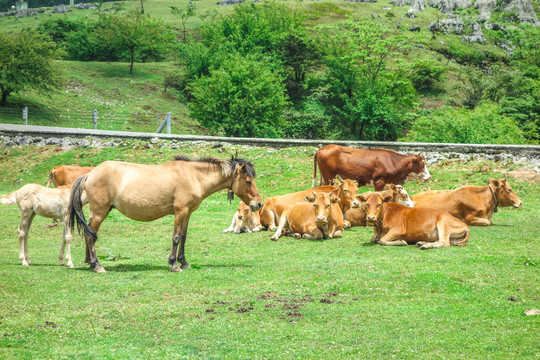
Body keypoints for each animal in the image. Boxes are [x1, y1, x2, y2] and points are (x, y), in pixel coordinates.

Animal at [68, 155, 262, 272]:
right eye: (248, 181)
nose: (258, 204)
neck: (193, 176)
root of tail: (89, 174)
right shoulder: (180, 212)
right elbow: (176, 237)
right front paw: (174, 264)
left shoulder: (187, 213)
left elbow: (183, 237)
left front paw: (184, 262)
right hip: (100, 212)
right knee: (91, 235)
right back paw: (97, 265)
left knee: (88, 232)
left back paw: (89, 262)